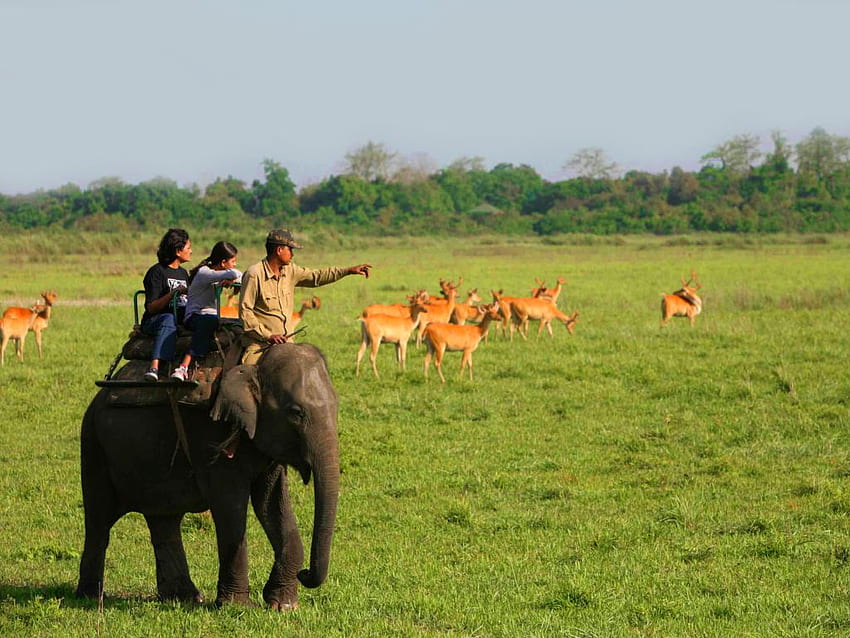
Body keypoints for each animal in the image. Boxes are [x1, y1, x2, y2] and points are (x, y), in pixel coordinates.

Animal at [73, 342, 338, 612]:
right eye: (296, 413)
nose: (305, 573)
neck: (254, 363)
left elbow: (272, 505)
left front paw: (283, 605)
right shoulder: (210, 434)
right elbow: (230, 506)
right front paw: (237, 606)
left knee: (164, 520)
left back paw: (183, 597)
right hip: (94, 445)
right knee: (99, 520)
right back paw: (91, 597)